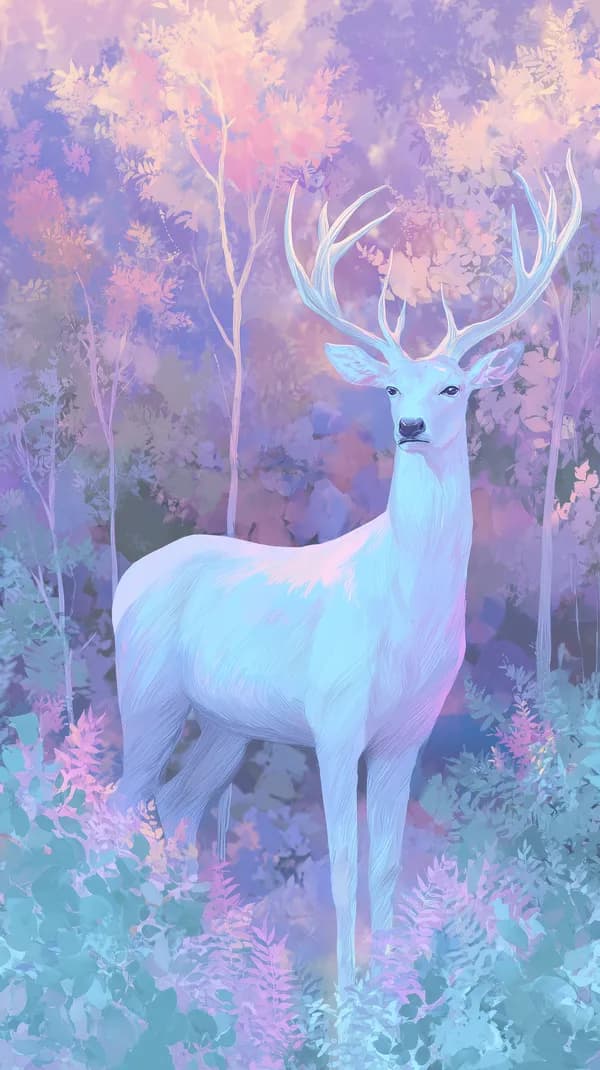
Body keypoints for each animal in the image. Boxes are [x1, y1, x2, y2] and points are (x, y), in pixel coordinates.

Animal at [111, 151, 581, 993]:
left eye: (454, 386)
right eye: (392, 387)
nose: (412, 425)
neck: (407, 620)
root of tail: (126, 581)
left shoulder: (406, 735)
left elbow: (388, 867)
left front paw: (392, 992)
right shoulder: (334, 721)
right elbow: (341, 868)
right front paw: (345, 999)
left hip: (227, 723)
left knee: (177, 803)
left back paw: (186, 947)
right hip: (149, 692)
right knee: (120, 800)